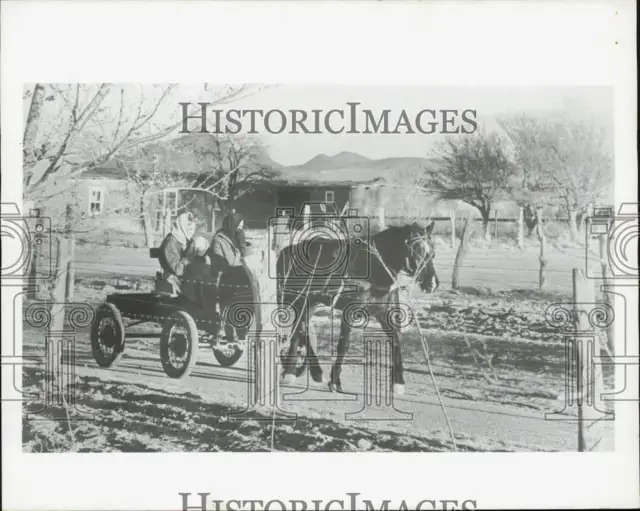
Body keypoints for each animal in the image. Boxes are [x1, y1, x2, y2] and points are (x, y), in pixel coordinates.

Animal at [276, 220, 440, 396]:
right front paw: (335, 381)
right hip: (297, 300)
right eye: (417, 251)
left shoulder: (385, 313)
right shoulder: (349, 312)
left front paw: (398, 383)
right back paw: (315, 371)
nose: (433, 283)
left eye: (432, 253)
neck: (374, 266)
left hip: (310, 303)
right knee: (301, 330)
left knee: (299, 331)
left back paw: (291, 371)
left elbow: (396, 341)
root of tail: (286, 251)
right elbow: (344, 345)